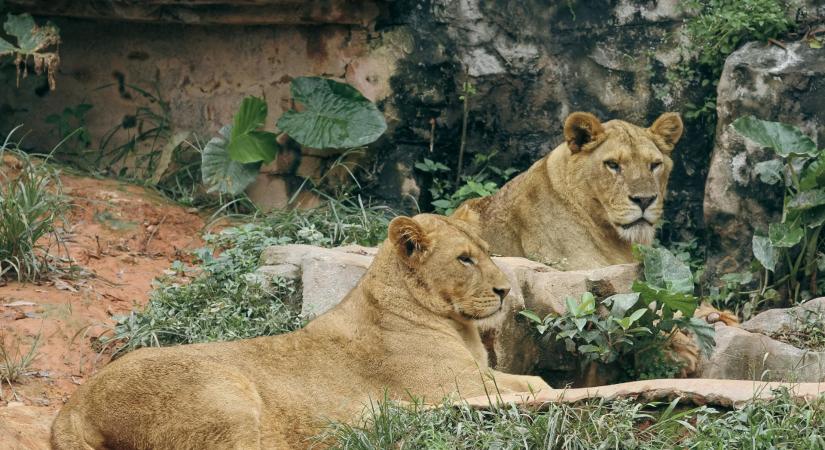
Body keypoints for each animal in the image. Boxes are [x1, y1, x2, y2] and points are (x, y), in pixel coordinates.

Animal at [53, 214, 552, 450]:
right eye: (464, 259)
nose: (506, 290)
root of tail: (73, 405)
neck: (456, 323)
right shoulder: (455, 384)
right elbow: (531, 383)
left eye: (487, 252)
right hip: (224, 393)